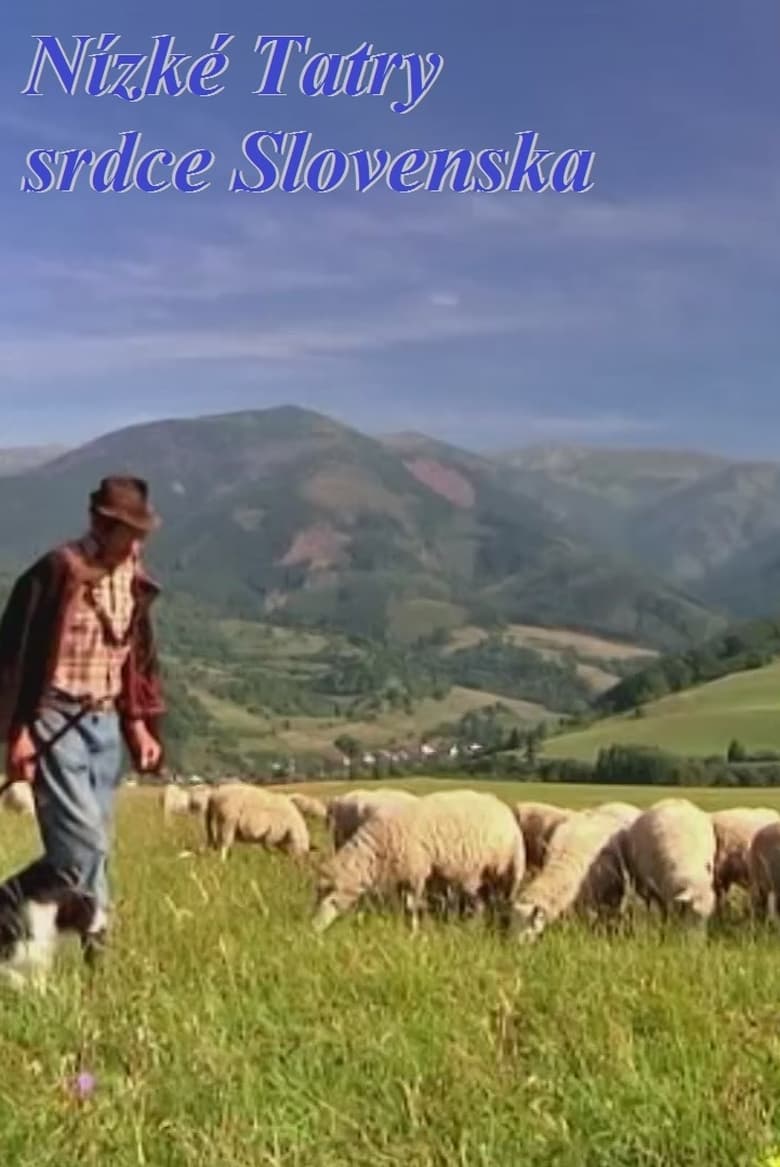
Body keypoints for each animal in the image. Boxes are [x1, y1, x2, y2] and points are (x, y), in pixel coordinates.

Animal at [310, 788, 523, 933]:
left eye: (330, 898)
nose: (314, 928)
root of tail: (500, 805)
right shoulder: (402, 877)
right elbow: (402, 904)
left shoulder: (417, 873)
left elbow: (411, 906)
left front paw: (413, 931)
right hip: (479, 874)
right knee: (480, 901)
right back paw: (474, 926)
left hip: (508, 868)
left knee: (503, 899)